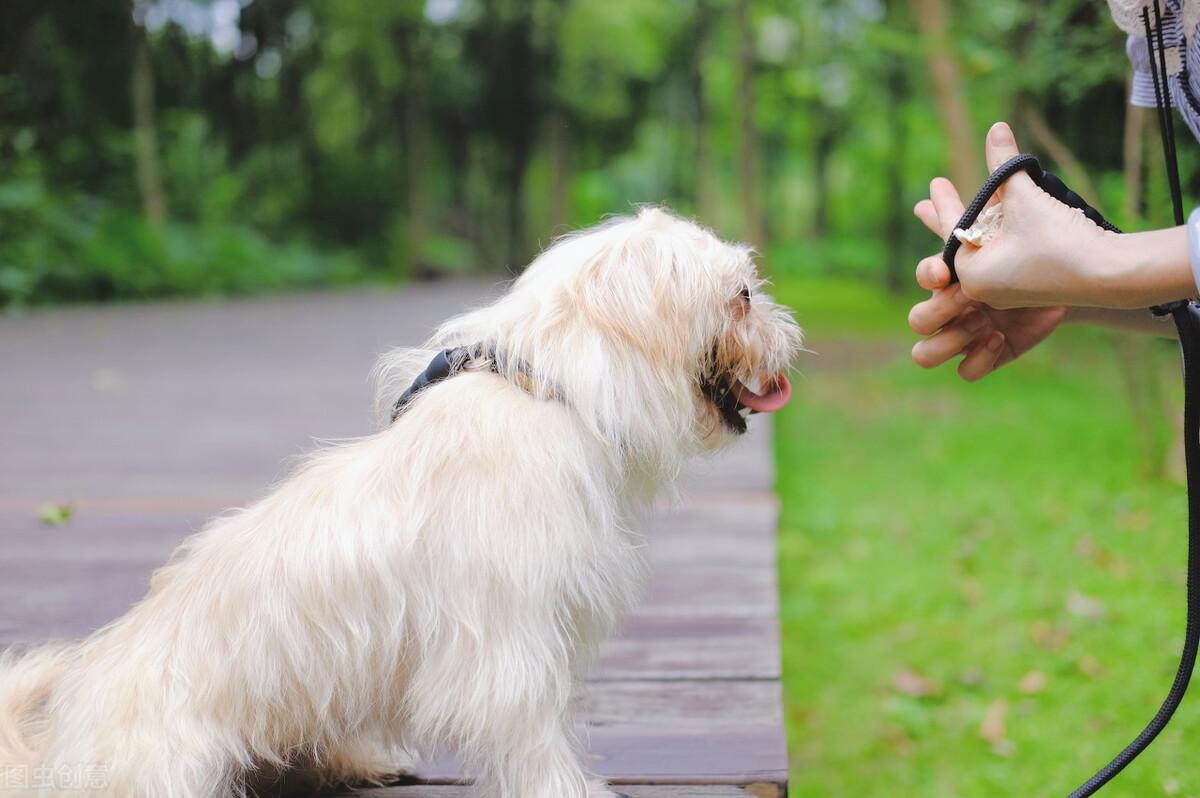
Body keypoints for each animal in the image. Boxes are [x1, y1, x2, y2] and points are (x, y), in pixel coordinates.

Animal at [2, 208, 806, 792]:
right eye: (741, 295)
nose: (790, 330)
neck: (549, 390)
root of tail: (53, 751)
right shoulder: (505, 650)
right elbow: (539, 748)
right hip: (175, 767)